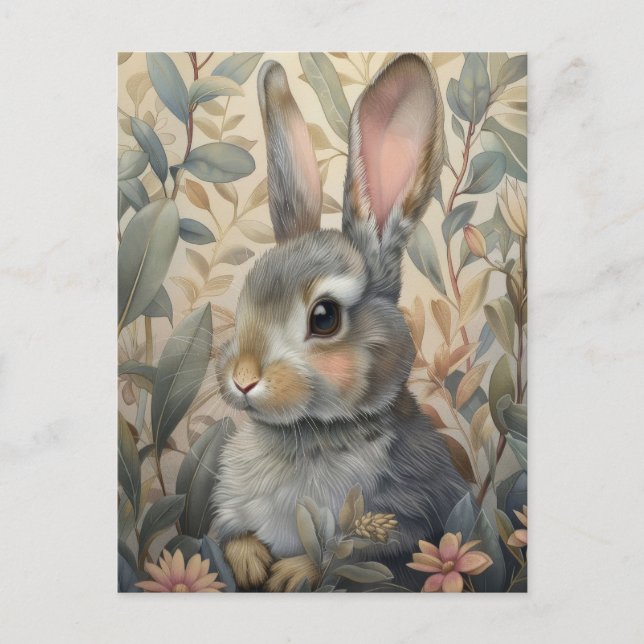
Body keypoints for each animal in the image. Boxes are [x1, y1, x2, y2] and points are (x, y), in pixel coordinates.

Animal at [211, 53, 469, 592]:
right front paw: (250, 563)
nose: (243, 379)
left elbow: (348, 552)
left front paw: (290, 573)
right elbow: (233, 532)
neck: (308, 432)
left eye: (324, 317)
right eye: (246, 297)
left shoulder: (413, 514)